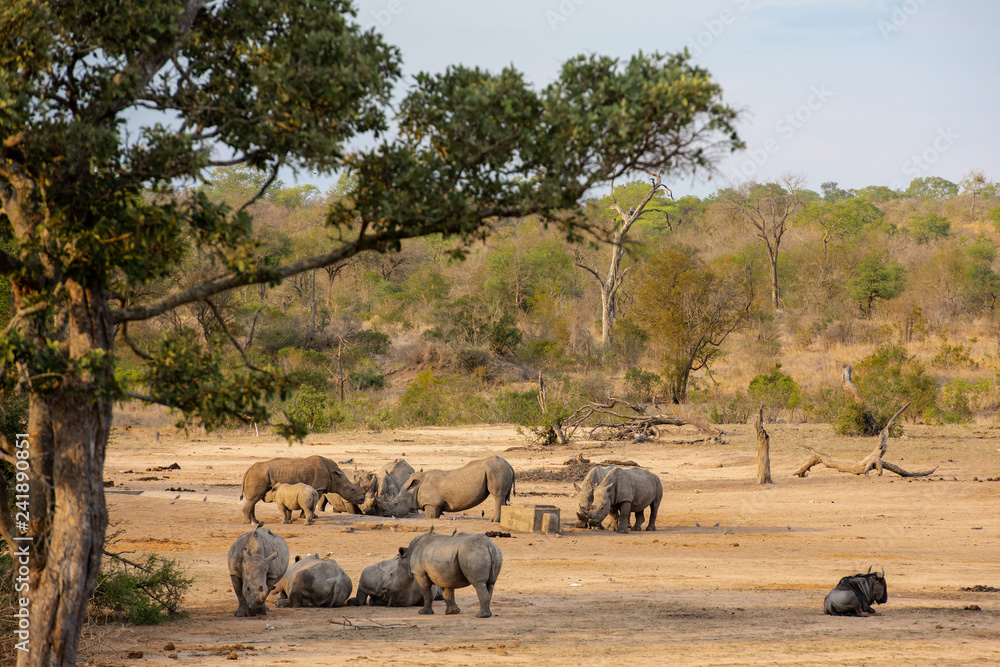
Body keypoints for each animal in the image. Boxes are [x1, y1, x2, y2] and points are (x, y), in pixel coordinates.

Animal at [377, 455, 515, 522]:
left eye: (395, 504)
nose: (384, 514)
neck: (412, 491)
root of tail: (509, 464)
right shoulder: (436, 505)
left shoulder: (431, 504)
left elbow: (431, 517)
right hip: (498, 469)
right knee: (504, 497)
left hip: (495, 470)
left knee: (497, 496)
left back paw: (493, 521)